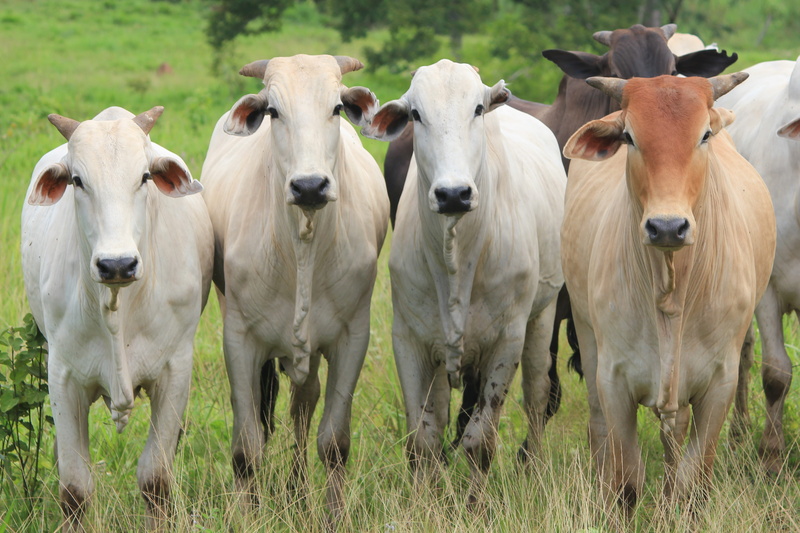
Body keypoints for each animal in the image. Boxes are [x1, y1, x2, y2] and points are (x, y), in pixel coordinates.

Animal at [21, 106, 213, 531]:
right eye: (77, 180)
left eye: (144, 177)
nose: (117, 264)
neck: (117, 307)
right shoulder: (62, 376)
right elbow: (75, 489)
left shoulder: (176, 370)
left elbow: (155, 480)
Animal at [199, 54, 389, 521]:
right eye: (273, 111)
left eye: (337, 108)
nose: (309, 186)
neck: (302, 248)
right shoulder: (239, 341)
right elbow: (247, 448)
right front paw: (247, 514)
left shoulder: (352, 338)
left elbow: (334, 442)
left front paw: (333, 515)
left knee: (303, 406)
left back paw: (298, 493)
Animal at [363, 59, 566, 505]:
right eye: (416, 114)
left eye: (476, 108)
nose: (453, 193)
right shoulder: (410, 340)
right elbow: (423, 439)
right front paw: (426, 502)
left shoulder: (507, 342)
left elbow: (480, 442)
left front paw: (475, 505)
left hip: (542, 318)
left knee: (538, 396)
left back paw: (535, 467)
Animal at [561, 74, 775, 516]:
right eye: (629, 136)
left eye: (704, 134)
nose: (667, 227)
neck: (671, 296)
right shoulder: (613, 379)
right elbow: (626, 480)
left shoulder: (721, 381)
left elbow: (694, 479)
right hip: (586, 336)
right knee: (600, 427)